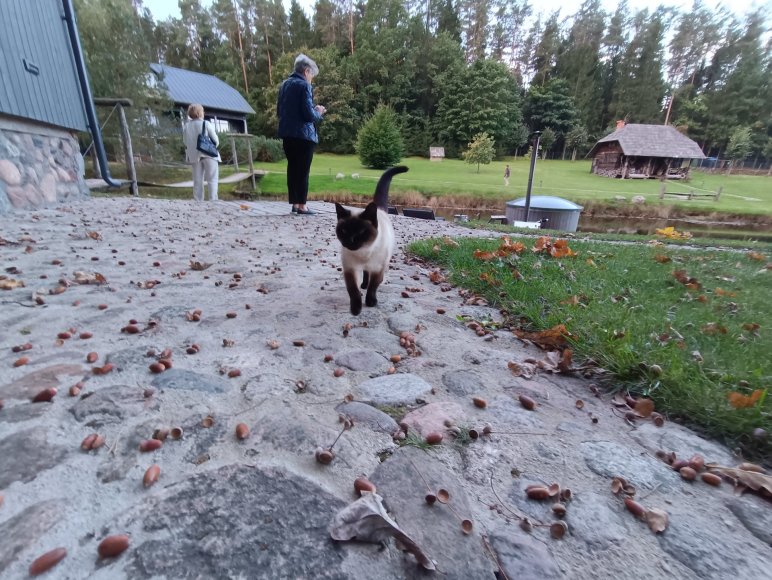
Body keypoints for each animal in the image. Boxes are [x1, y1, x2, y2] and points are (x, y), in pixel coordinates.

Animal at [338, 165, 410, 314]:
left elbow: (373, 287)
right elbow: (353, 290)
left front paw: (370, 302)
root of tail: (380, 209)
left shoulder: (378, 269)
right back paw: (363, 285)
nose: (350, 241)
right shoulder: (350, 269)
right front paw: (355, 310)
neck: (363, 253)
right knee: (365, 274)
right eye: (344, 231)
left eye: (361, 232)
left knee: (373, 279)